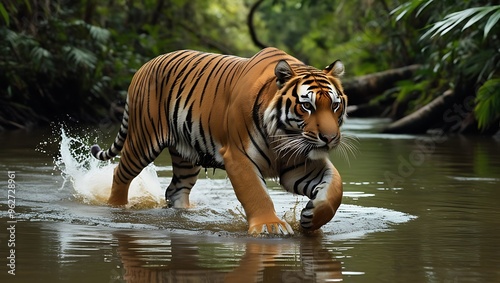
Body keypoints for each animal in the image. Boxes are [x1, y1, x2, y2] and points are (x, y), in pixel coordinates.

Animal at [91, 47, 348, 236]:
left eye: (335, 105)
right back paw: (116, 209)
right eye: (307, 106)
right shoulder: (238, 157)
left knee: (176, 189)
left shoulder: (298, 164)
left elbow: (335, 187)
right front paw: (270, 226)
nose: (330, 138)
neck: (284, 137)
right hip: (142, 140)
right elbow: (256, 193)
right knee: (120, 174)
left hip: (186, 157)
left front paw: (311, 217)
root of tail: (144, 65)